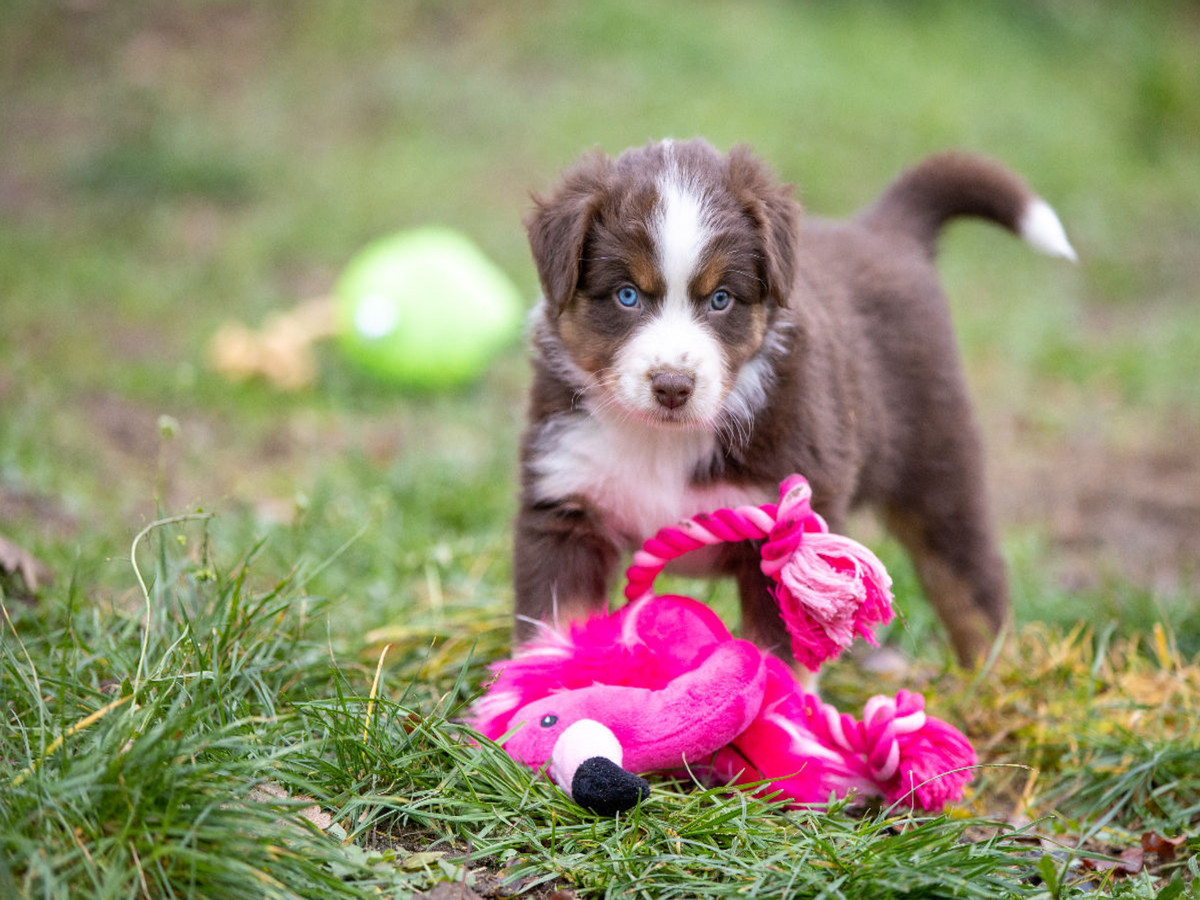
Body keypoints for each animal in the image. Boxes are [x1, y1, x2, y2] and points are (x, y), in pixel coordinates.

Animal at [511, 137, 1075, 667]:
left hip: (938, 464)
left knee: (971, 583)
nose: (673, 386)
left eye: (721, 299)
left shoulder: (787, 529)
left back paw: (993, 678)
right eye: (626, 295)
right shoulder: (564, 507)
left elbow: (780, 655)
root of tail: (885, 230)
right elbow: (553, 629)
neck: (661, 442)